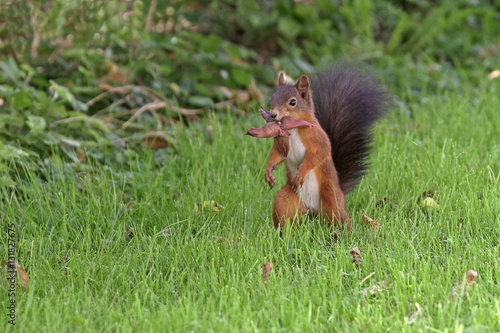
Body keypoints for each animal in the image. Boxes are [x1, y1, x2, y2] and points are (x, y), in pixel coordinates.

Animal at [258, 64, 390, 231]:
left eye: (293, 102)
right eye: (272, 98)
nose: (273, 115)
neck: (293, 129)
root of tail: (313, 210)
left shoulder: (319, 139)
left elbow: (318, 154)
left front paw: (301, 171)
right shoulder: (281, 144)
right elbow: (276, 155)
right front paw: (268, 170)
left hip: (330, 197)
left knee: (339, 217)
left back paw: (342, 233)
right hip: (286, 200)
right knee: (286, 215)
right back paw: (284, 232)